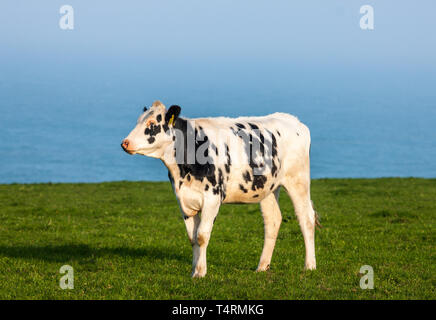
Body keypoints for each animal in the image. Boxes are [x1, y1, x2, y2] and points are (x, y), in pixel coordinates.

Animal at [121, 100, 318, 278]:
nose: (125, 143)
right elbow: (192, 237)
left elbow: (202, 235)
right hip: (267, 187)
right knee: (273, 220)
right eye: (138, 121)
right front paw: (193, 270)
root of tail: (293, 120)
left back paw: (309, 265)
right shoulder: (183, 200)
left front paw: (200, 272)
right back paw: (262, 266)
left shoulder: (213, 198)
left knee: (306, 218)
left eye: (151, 123)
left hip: (298, 180)